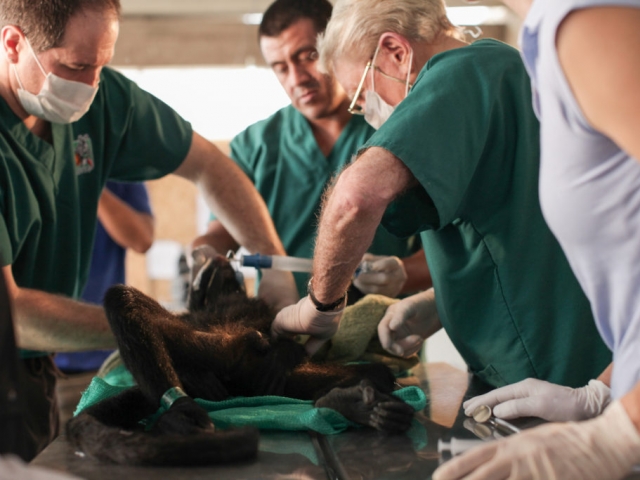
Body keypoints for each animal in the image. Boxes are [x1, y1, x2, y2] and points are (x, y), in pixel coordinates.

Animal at [66, 254, 415, 467]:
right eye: (205, 274)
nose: (219, 258)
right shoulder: (199, 317)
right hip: (224, 351)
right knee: (123, 299)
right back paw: (179, 412)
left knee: (378, 374)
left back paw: (350, 405)